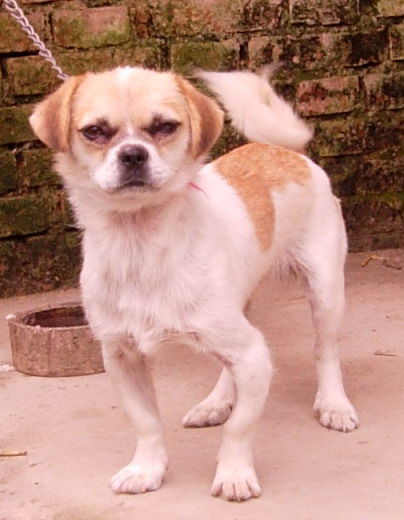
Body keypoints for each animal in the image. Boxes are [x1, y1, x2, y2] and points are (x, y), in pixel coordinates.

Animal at [29, 65, 359, 502]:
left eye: (165, 127)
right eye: (95, 131)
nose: (132, 154)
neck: (140, 245)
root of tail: (285, 152)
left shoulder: (252, 352)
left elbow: (240, 428)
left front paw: (234, 473)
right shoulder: (121, 356)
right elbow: (147, 423)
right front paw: (146, 469)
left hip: (325, 292)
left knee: (325, 351)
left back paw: (333, 403)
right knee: (229, 368)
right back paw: (216, 403)